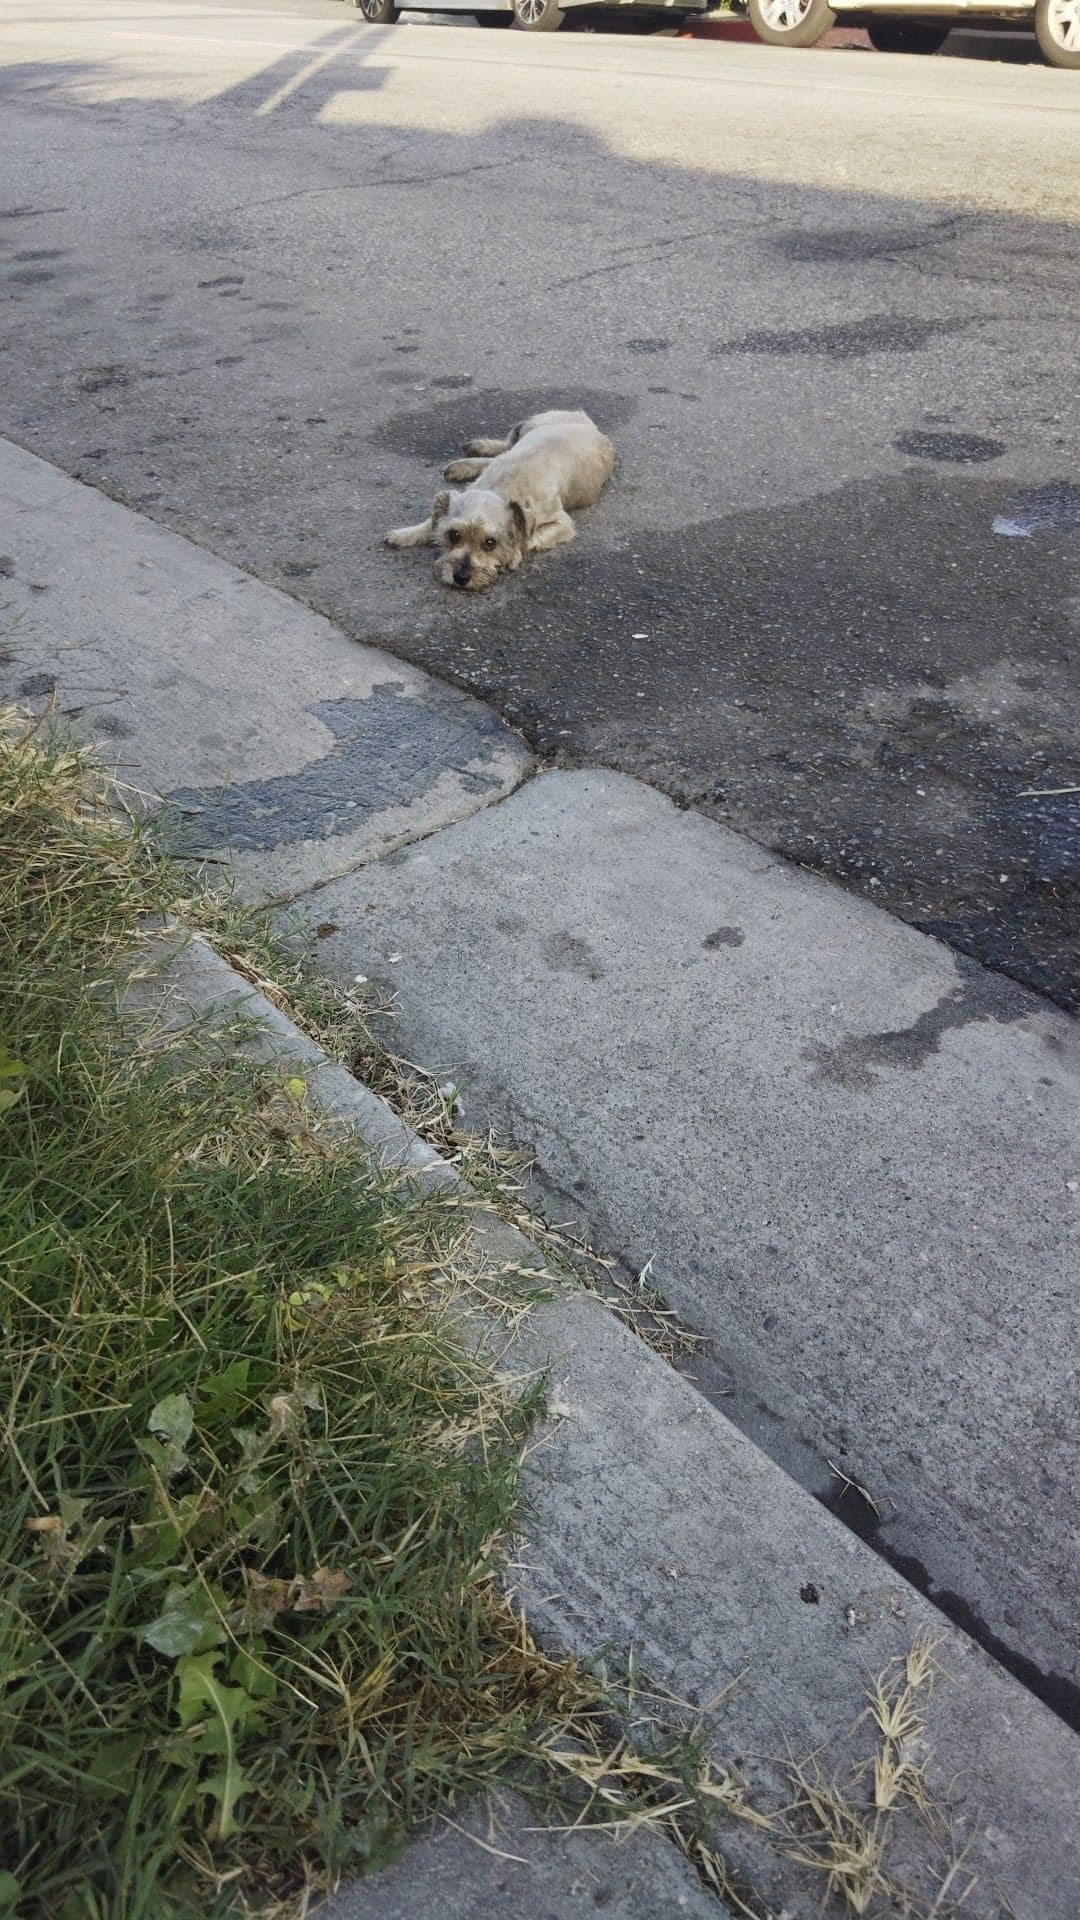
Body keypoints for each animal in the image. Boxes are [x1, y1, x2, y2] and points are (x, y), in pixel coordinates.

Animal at [384, 414, 614, 595]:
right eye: (453, 535)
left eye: (490, 543)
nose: (460, 578)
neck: (502, 487)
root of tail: (588, 423)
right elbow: (430, 522)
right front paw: (405, 534)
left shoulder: (562, 524)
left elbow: (529, 539)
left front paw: (514, 554)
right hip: (529, 425)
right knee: (504, 446)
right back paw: (471, 457)